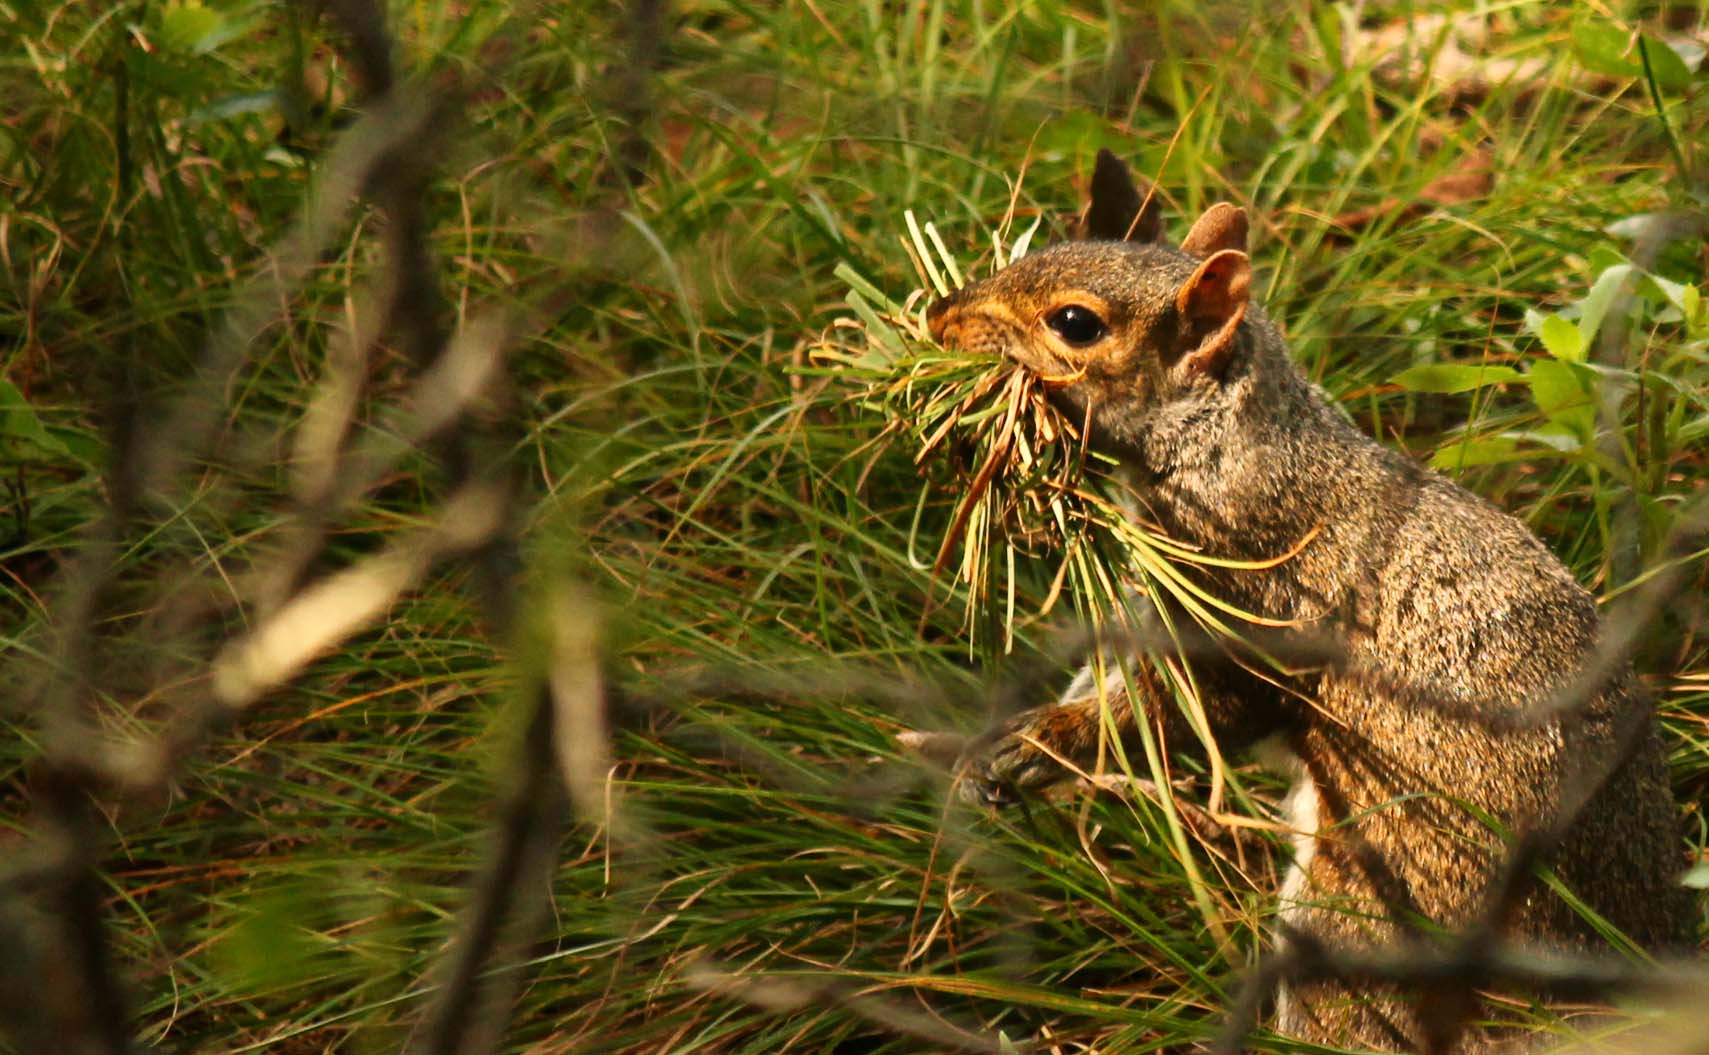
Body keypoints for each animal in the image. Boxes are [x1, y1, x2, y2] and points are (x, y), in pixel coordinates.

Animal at [923, 150, 1694, 1053]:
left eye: (1074, 324)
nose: (938, 319)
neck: (1227, 443)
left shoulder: (1250, 600)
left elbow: (1189, 711)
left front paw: (1040, 744)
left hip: (1371, 906)